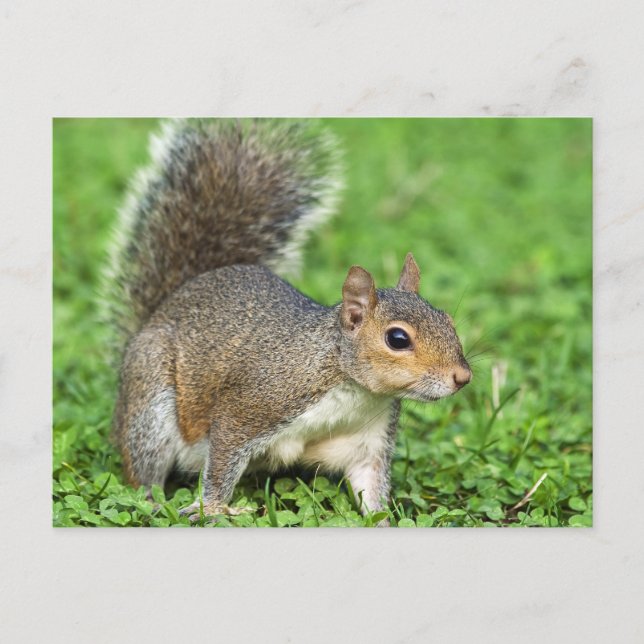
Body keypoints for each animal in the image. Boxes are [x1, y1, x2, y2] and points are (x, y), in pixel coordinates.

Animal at [107, 118, 471, 522]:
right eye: (397, 339)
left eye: (448, 320)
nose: (462, 377)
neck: (350, 387)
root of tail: (156, 315)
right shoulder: (251, 405)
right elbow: (221, 463)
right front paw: (213, 508)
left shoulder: (367, 438)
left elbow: (370, 486)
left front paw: (384, 521)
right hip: (151, 405)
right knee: (142, 468)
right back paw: (153, 501)